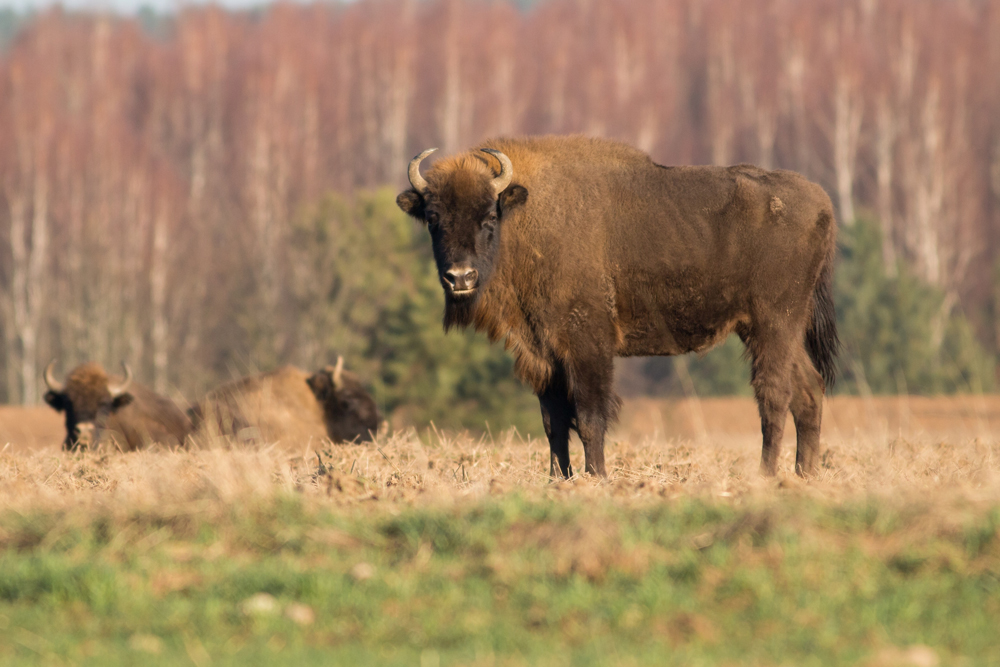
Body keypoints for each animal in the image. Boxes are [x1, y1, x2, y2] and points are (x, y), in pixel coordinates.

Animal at [396, 136, 836, 480]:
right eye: (433, 217)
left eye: (489, 214)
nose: (460, 277)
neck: (525, 215)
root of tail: (823, 204)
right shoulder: (543, 353)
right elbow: (554, 423)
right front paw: (558, 479)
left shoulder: (587, 345)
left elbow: (590, 417)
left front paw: (597, 477)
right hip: (773, 329)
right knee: (809, 391)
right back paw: (805, 475)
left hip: (773, 324)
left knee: (774, 393)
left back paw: (766, 475)